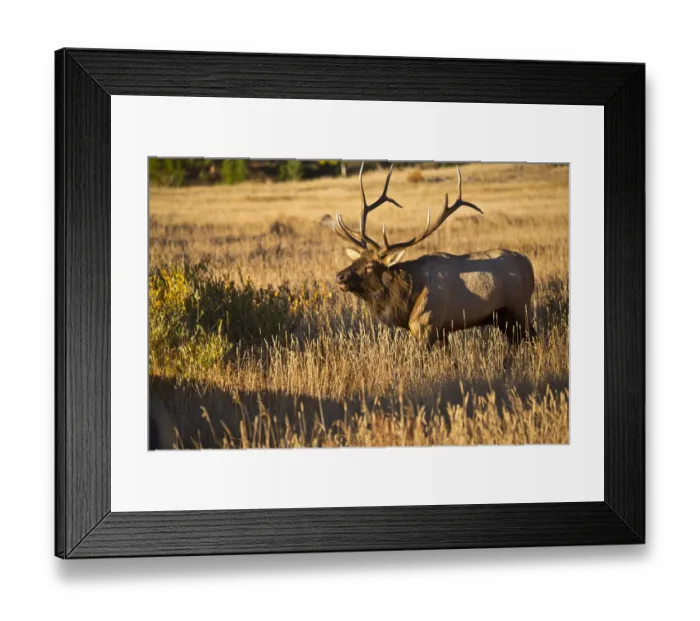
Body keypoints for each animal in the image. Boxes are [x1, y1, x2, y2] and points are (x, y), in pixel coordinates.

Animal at [333, 163, 536, 348]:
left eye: (370, 266)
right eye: (356, 260)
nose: (339, 276)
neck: (406, 300)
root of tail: (528, 263)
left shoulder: (428, 324)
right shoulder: (441, 330)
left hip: (520, 306)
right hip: (502, 317)